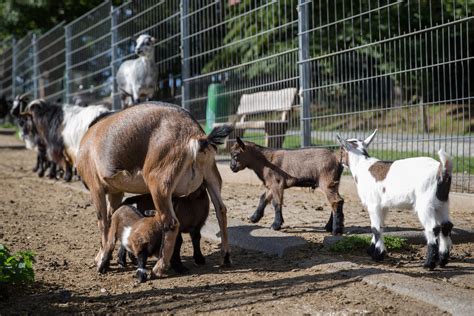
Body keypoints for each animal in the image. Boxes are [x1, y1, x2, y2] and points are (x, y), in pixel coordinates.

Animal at [77, 102, 231, 276]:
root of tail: (195, 135)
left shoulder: (96, 187)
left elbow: (103, 222)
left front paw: (102, 259)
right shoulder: (116, 192)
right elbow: (111, 219)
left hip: (159, 184)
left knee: (171, 223)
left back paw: (159, 267)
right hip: (211, 176)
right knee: (221, 211)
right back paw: (225, 257)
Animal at [336, 130, 454, 270]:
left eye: (341, 149)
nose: (338, 161)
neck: (362, 166)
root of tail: (442, 170)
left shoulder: (373, 204)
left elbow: (375, 228)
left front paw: (378, 255)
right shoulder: (383, 206)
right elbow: (380, 225)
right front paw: (372, 250)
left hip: (425, 203)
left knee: (433, 227)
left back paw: (429, 263)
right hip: (442, 202)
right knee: (446, 225)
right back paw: (443, 260)